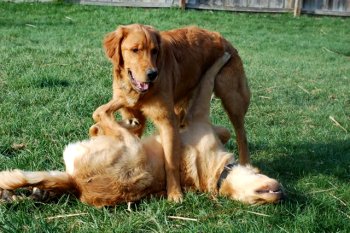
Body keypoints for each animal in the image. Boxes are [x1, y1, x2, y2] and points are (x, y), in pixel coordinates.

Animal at [0, 53, 282, 207]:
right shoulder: (199, 118)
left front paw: (221, 58)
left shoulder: (199, 114)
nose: (282, 194)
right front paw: (222, 57)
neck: (219, 175)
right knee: (99, 123)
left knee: (101, 115)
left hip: (130, 146)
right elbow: (222, 124)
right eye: (257, 199)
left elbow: (209, 77)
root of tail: (76, 184)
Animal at [97, 24, 253, 201]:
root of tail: (225, 40)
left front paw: (174, 193)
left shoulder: (166, 121)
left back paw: (245, 162)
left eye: (155, 51)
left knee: (241, 135)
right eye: (135, 50)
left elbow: (170, 161)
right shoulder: (134, 116)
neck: (139, 93)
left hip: (232, 98)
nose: (153, 74)